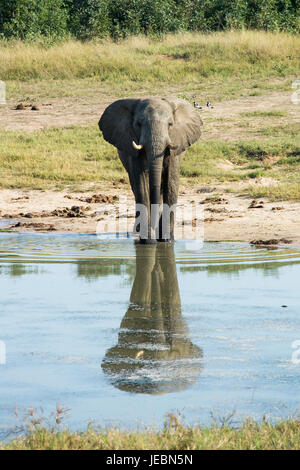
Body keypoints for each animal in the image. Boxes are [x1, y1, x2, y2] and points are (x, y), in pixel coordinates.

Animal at [99, 95, 203, 242]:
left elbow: (171, 182)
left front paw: (167, 240)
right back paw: (138, 232)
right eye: (138, 124)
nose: (155, 236)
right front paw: (148, 241)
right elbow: (141, 184)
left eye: (170, 124)